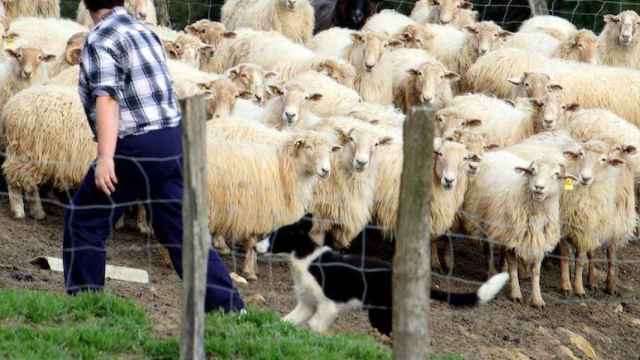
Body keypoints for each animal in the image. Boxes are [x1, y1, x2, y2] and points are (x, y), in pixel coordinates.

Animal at [256, 217, 510, 338]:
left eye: (274, 236)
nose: (256, 246)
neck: (304, 259)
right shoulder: (306, 305)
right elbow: (287, 321)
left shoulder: (328, 306)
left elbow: (315, 326)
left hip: (380, 313)